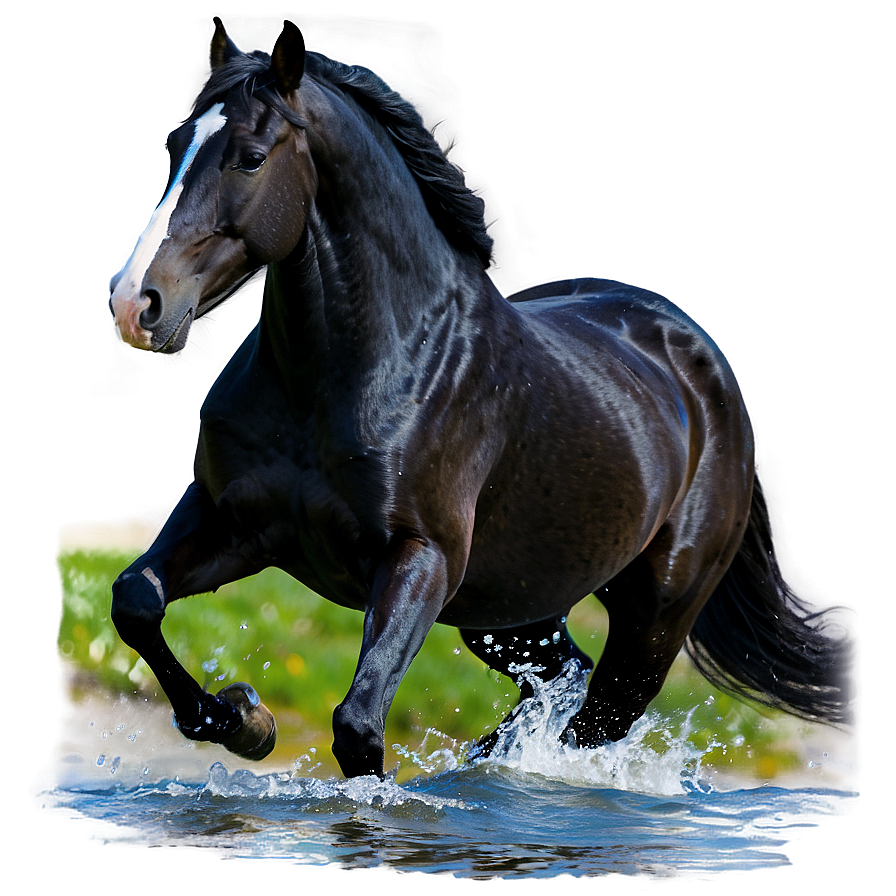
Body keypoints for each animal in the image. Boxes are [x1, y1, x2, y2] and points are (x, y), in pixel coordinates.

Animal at [109, 19, 853, 778]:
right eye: (174, 145)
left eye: (251, 159)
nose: (136, 304)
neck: (350, 377)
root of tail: (706, 367)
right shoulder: (228, 519)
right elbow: (134, 601)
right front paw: (241, 718)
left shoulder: (422, 556)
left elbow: (359, 727)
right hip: (510, 607)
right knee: (563, 683)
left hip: (652, 617)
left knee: (596, 715)